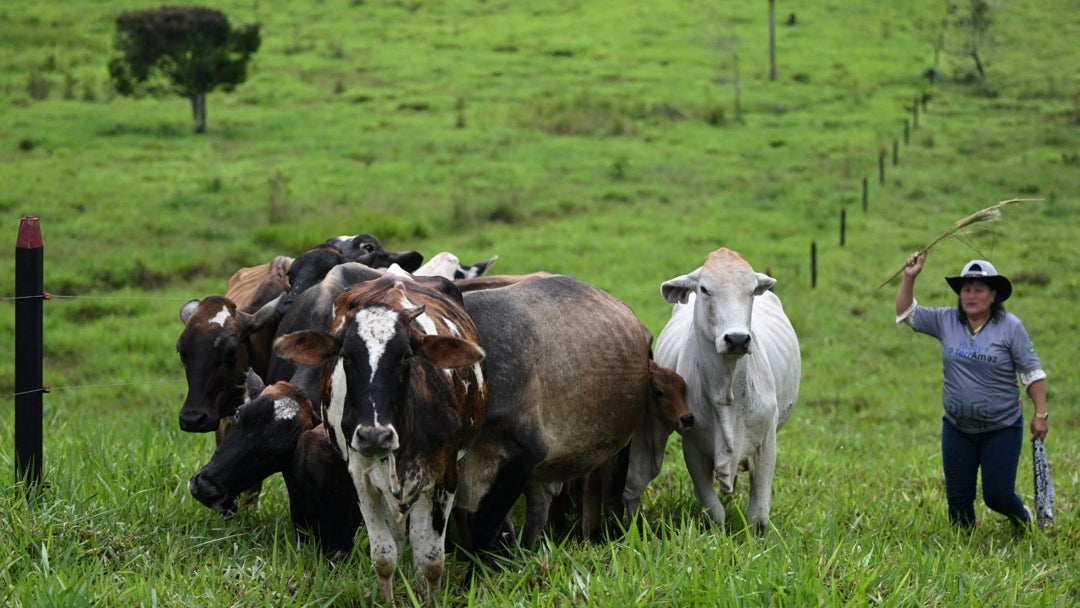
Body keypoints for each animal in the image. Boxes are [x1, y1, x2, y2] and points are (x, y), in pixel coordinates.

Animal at [274, 274, 486, 604]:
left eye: (406, 356)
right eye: (346, 356)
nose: (375, 435)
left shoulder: (446, 477)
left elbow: (432, 558)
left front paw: (429, 597)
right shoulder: (361, 479)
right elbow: (384, 556)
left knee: (418, 536)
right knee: (399, 537)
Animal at [639, 249, 803, 531]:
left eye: (751, 290)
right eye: (705, 289)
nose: (737, 339)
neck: (726, 394)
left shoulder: (767, 444)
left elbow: (758, 515)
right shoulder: (692, 447)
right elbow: (713, 510)